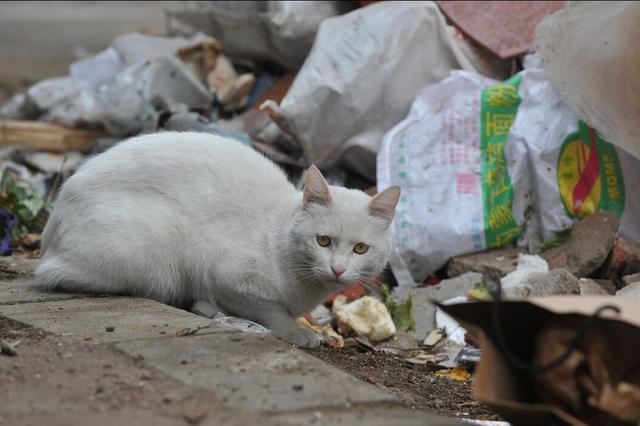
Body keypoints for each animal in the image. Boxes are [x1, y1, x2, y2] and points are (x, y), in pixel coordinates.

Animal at [35, 132, 400, 346]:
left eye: (360, 248)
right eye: (322, 240)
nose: (338, 269)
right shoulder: (226, 273)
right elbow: (269, 308)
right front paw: (297, 332)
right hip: (157, 251)